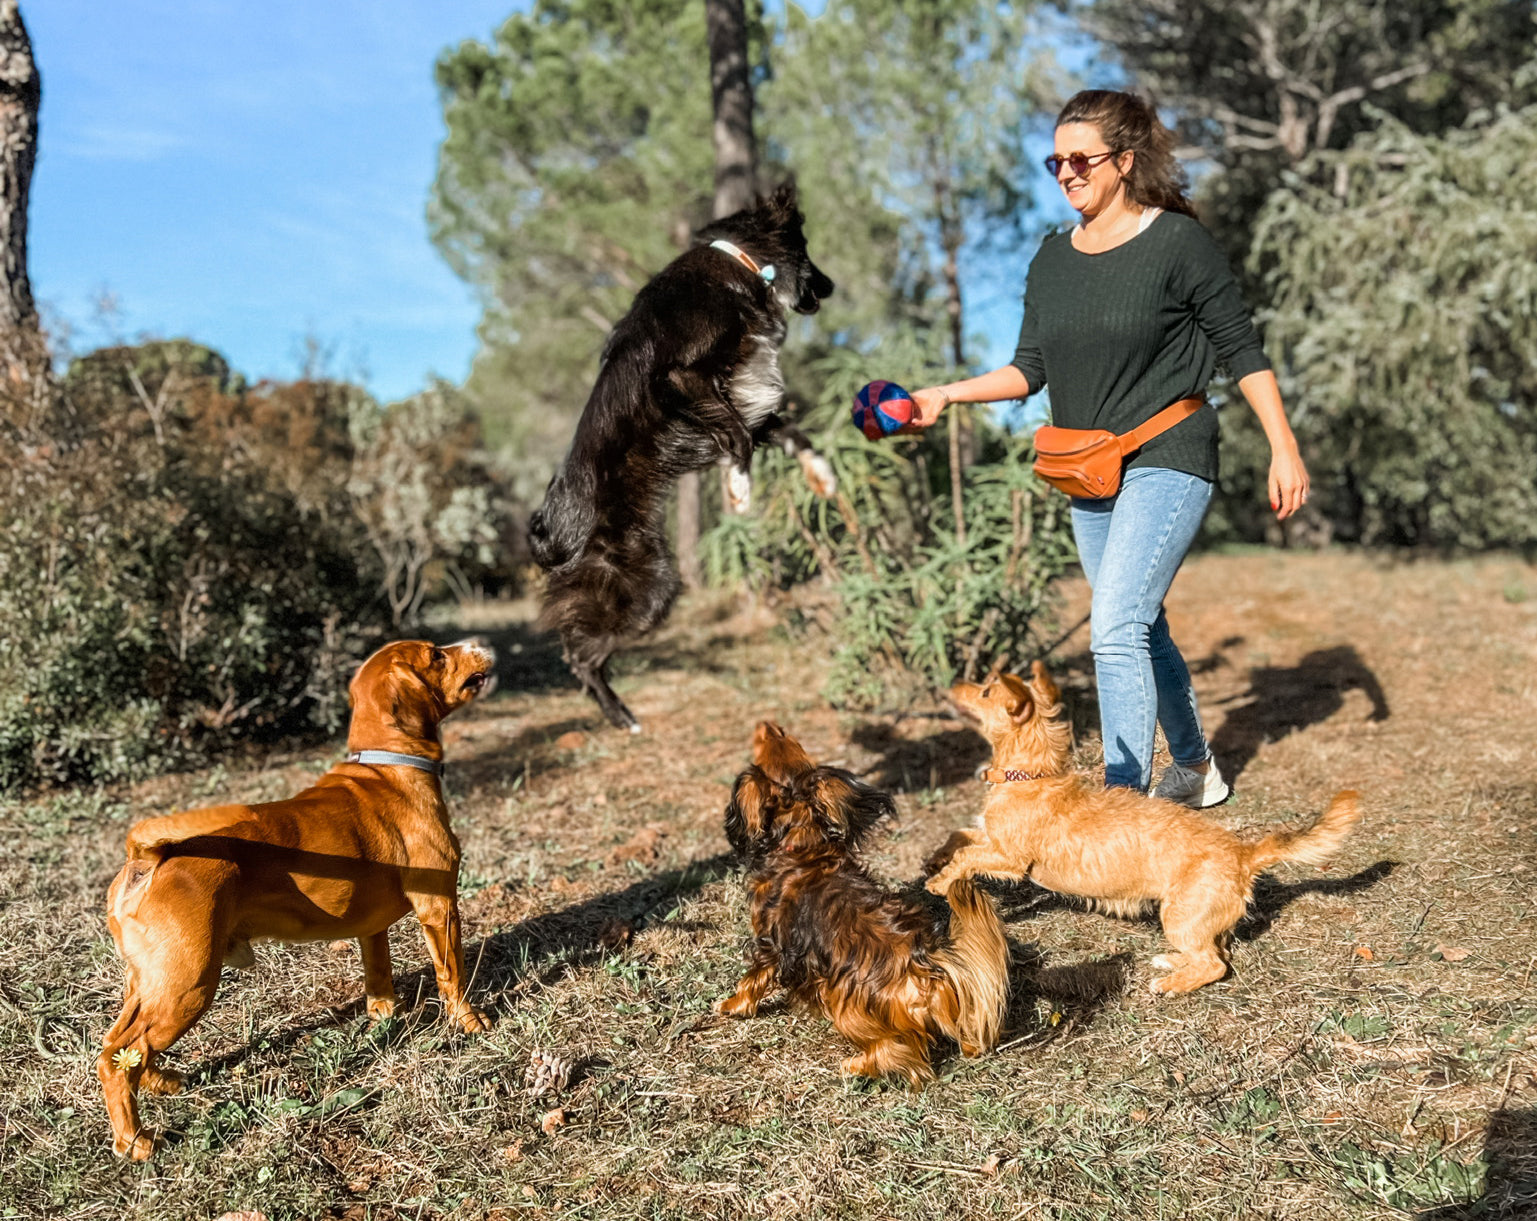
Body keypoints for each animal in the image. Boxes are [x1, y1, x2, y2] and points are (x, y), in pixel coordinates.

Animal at [99, 633, 494, 1156]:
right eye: (435, 655)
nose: (480, 642)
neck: (389, 764)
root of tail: (146, 858)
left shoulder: (372, 931)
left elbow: (379, 981)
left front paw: (383, 1021)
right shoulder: (440, 908)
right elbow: (454, 977)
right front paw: (469, 1024)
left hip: (149, 984)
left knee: (121, 1049)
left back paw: (160, 1083)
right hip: (188, 986)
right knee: (122, 1055)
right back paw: (135, 1141)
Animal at [531, 185, 842, 728]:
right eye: (807, 250)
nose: (831, 285)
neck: (741, 268)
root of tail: (547, 528)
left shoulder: (745, 400)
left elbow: (790, 431)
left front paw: (820, 474)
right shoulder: (680, 378)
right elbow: (738, 438)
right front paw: (739, 492)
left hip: (650, 583)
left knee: (583, 653)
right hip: (642, 591)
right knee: (579, 655)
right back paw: (622, 716)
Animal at [716, 719, 1008, 1082]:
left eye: (768, 742)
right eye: (786, 738)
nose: (767, 723)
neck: (804, 848)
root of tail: (925, 966)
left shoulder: (770, 944)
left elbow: (752, 980)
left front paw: (732, 1006)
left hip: (846, 1007)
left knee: (893, 1051)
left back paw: (855, 1065)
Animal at [922, 661, 1358, 996]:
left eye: (985, 691)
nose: (948, 686)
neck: (1030, 775)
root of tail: (1244, 854)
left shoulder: (1010, 859)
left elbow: (968, 855)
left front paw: (940, 881)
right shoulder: (992, 839)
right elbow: (960, 836)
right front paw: (934, 859)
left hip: (1179, 916)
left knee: (1216, 964)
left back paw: (1172, 984)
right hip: (1195, 922)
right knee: (1219, 951)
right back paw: (1173, 962)